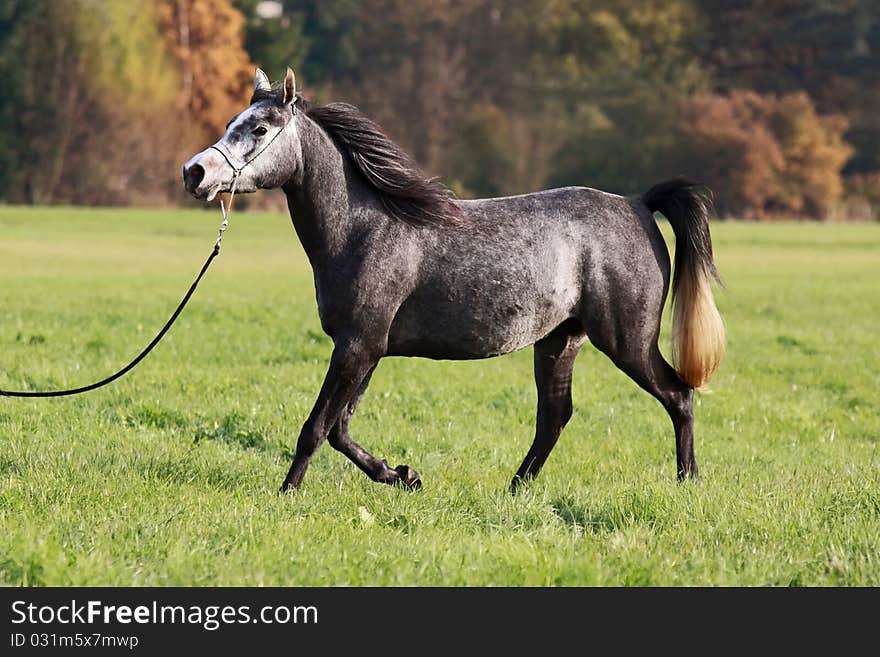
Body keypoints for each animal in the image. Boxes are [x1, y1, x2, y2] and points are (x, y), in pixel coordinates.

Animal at [182, 68, 724, 492]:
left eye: (259, 128)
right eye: (232, 123)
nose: (195, 172)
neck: (364, 227)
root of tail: (638, 204)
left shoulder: (357, 345)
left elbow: (316, 427)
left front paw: (288, 493)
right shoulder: (368, 349)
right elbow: (340, 428)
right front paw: (401, 475)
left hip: (627, 341)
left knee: (678, 396)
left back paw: (688, 482)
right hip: (559, 340)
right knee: (555, 416)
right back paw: (514, 489)